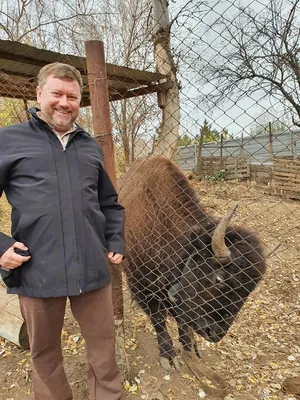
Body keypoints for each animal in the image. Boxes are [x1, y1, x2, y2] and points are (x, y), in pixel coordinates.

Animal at [118, 158, 266, 370]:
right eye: (219, 278)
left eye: (249, 291)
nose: (215, 334)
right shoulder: (141, 284)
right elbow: (158, 319)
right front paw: (169, 357)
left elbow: (184, 319)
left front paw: (191, 348)